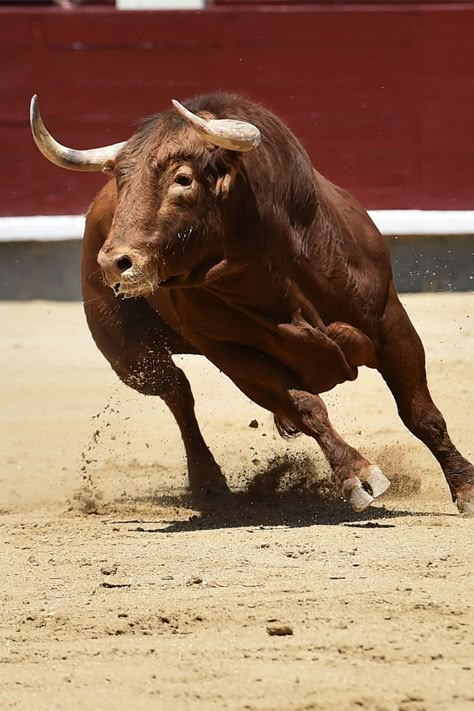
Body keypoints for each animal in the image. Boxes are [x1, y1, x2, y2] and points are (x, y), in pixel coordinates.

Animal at [30, 92, 474, 516]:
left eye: (183, 179)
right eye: (122, 181)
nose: (113, 262)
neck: (273, 268)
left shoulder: (390, 321)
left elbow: (421, 413)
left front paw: (465, 487)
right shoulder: (234, 357)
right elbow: (306, 405)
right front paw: (358, 476)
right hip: (132, 361)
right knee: (177, 392)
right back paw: (210, 484)